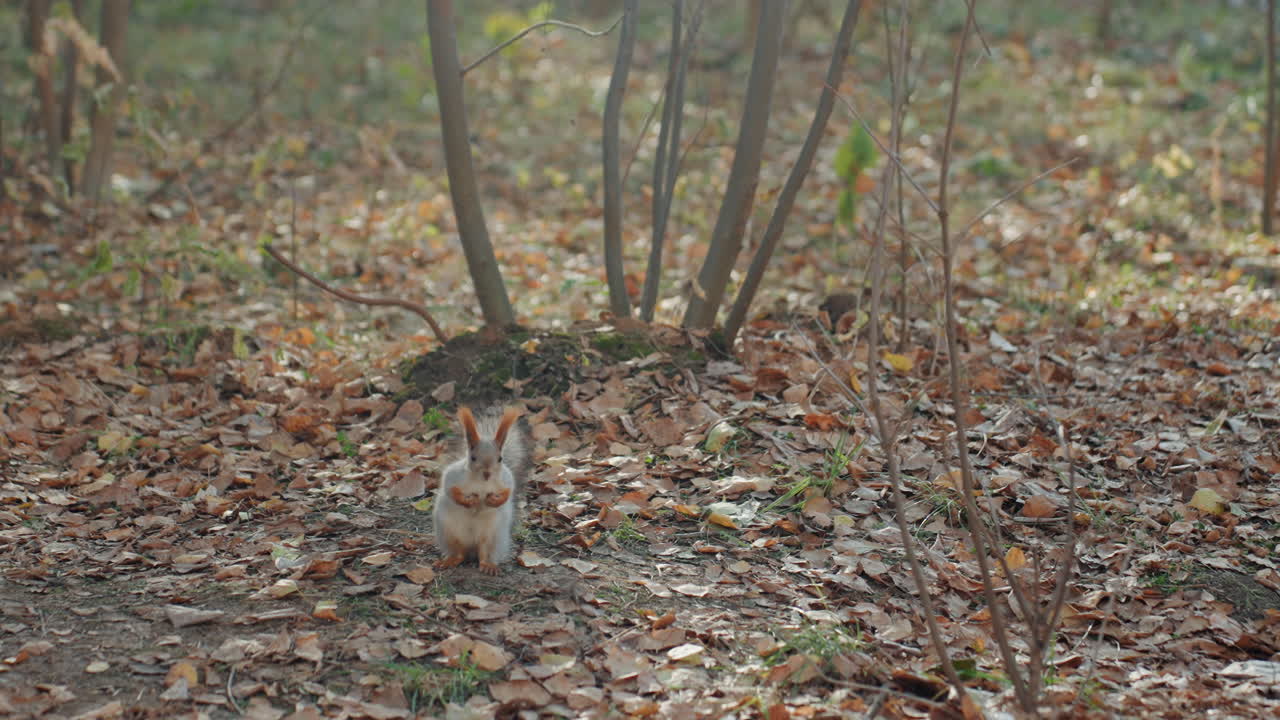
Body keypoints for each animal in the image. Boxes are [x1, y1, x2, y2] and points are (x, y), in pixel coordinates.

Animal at [433, 406, 531, 575]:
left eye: (500, 458)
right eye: (473, 458)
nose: (487, 473)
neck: (482, 483)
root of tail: (471, 548)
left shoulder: (506, 480)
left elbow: (507, 493)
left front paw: (493, 500)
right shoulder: (454, 476)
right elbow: (451, 490)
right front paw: (469, 501)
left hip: (493, 536)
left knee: (484, 553)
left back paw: (488, 565)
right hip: (449, 533)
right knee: (458, 554)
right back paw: (449, 561)